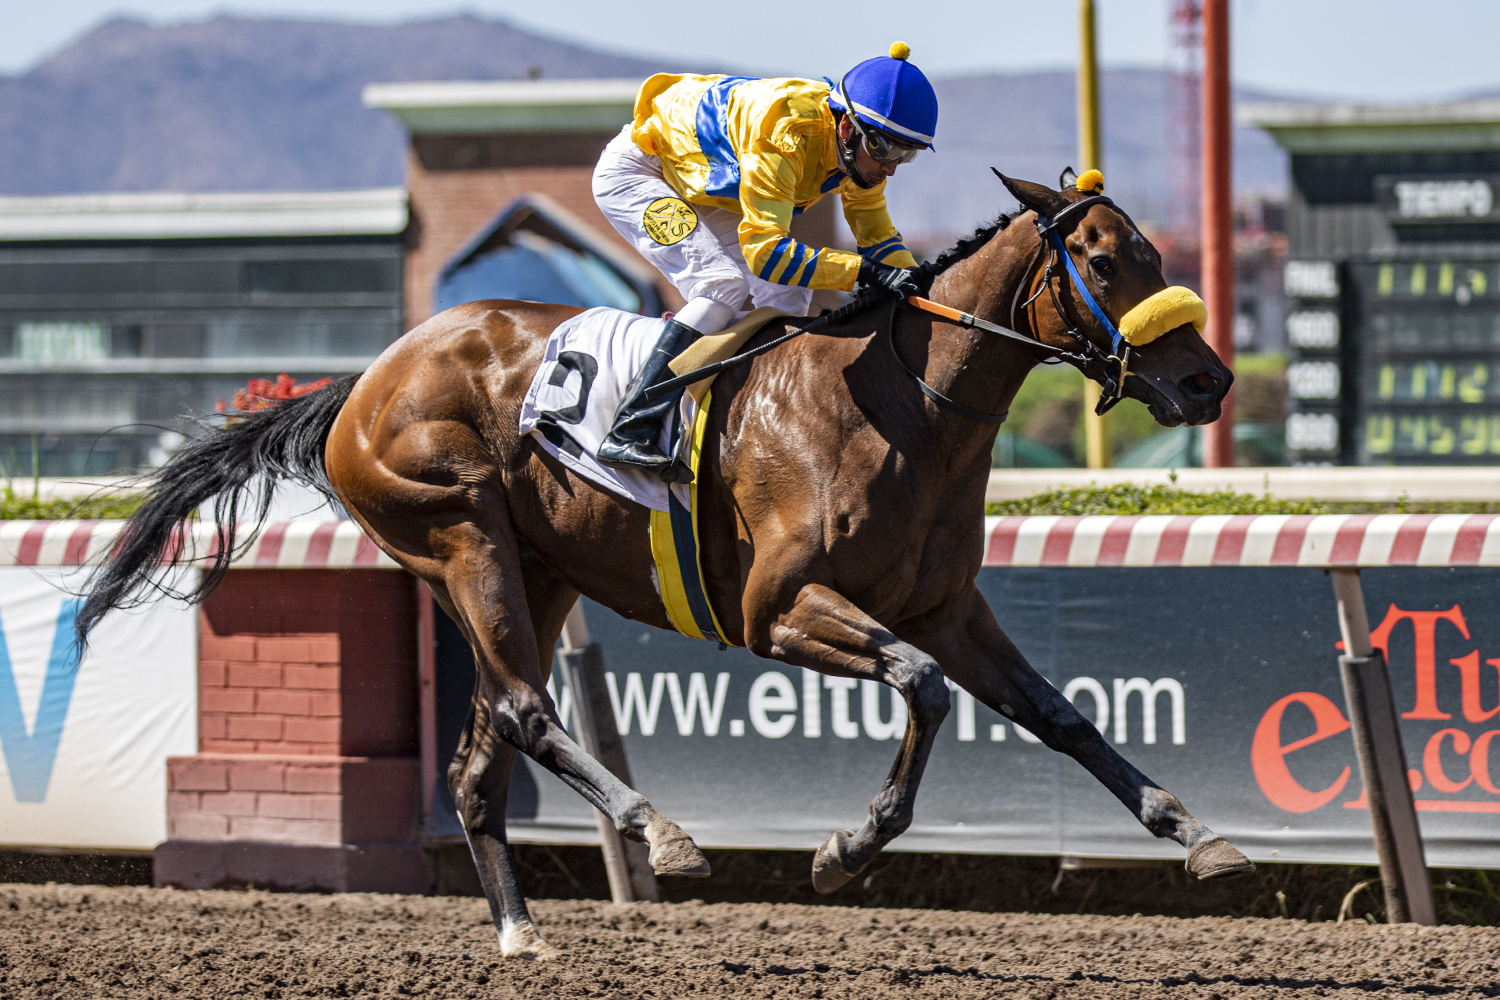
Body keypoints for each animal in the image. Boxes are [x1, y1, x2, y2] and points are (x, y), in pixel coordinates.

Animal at [79, 172, 1248, 960]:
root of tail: (361, 381)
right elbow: (920, 688)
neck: (902, 407)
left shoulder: (950, 607)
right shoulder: (781, 610)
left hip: (535, 572)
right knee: (525, 710)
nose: (1209, 380)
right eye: (1106, 259)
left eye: (1152, 250)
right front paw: (844, 849)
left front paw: (1196, 835)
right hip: (459, 535)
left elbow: (1062, 715)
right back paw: (662, 832)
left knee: (479, 754)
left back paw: (521, 932)